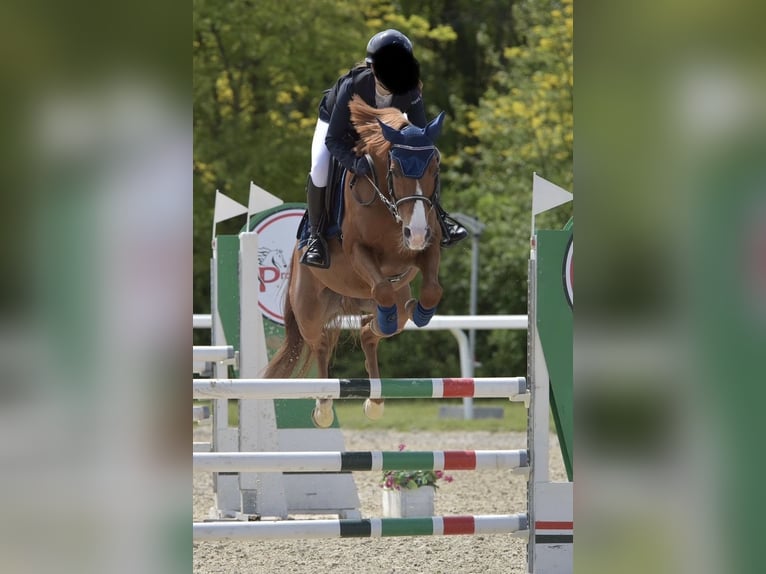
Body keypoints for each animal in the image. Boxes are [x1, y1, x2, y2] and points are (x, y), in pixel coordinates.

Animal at [264, 94, 448, 428]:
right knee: (321, 343)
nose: (414, 232)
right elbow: (382, 286)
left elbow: (431, 290)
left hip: (378, 300)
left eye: (435, 165)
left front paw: (422, 313)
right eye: (395, 168)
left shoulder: (427, 247)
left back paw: (375, 399)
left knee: (371, 331)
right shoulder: (357, 252)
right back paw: (324, 407)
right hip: (309, 309)